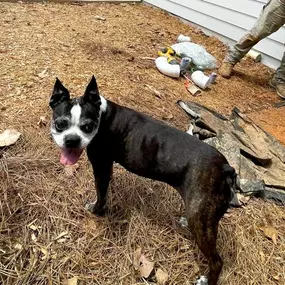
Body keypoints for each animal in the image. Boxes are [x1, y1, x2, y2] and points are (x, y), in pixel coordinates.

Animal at [49, 75, 235, 284]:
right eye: (60, 124)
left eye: (87, 127)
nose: (71, 139)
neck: (101, 116)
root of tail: (225, 167)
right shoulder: (107, 168)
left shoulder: (100, 167)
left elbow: (101, 196)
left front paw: (96, 211)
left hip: (201, 220)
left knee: (216, 261)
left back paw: (206, 279)